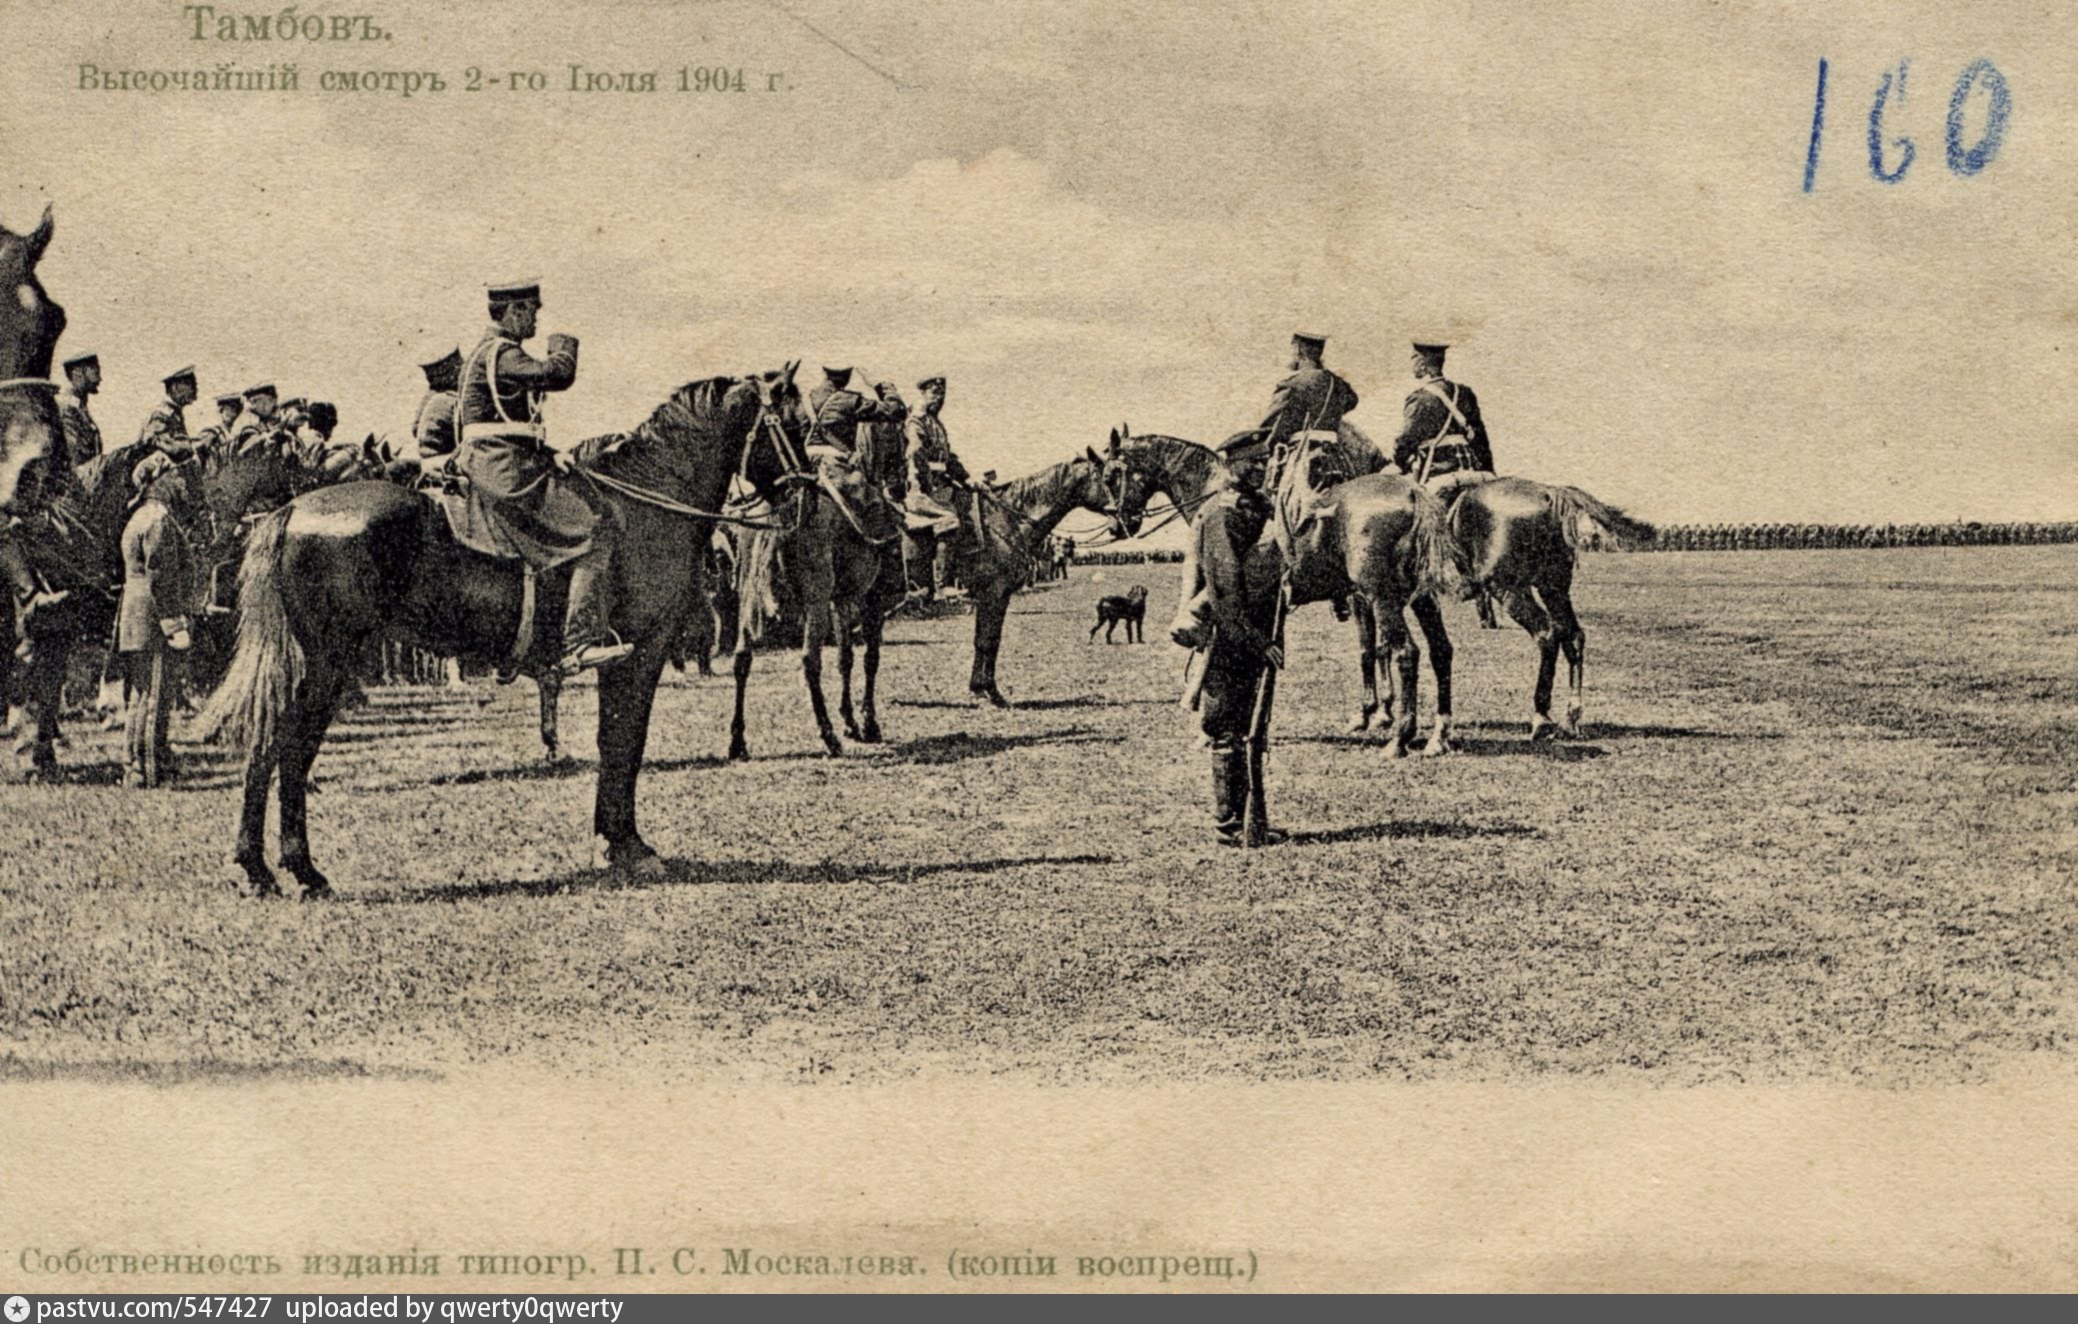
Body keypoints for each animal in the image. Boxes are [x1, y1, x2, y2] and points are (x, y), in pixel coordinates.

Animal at [196, 365, 810, 893]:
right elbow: (623, 743)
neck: (646, 504)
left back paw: (269, 869)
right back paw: (288, 868)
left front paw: (613, 841)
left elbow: (614, 744)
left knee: (274, 745)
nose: (803, 496)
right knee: (286, 746)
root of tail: (290, 512)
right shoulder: (642, 652)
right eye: (798, 425)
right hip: (329, 663)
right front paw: (627, 846)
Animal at [947, 438, 1155, 706]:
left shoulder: (989, 595)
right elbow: (988, 640)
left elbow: (984, 639)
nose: (1131, 520)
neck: (1008, 521)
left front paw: (979, 688)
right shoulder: (994, 593)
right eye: (1110, 477)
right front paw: (991, 692)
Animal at [1122, 424, 1462, 752]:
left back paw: (1400, 739)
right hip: (1420, 596)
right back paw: (1439, 734)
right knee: (1441, 649)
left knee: (1407, 652)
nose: (1122, 523)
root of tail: (1413, 493)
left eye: (1114, 470)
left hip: (1383, 596)